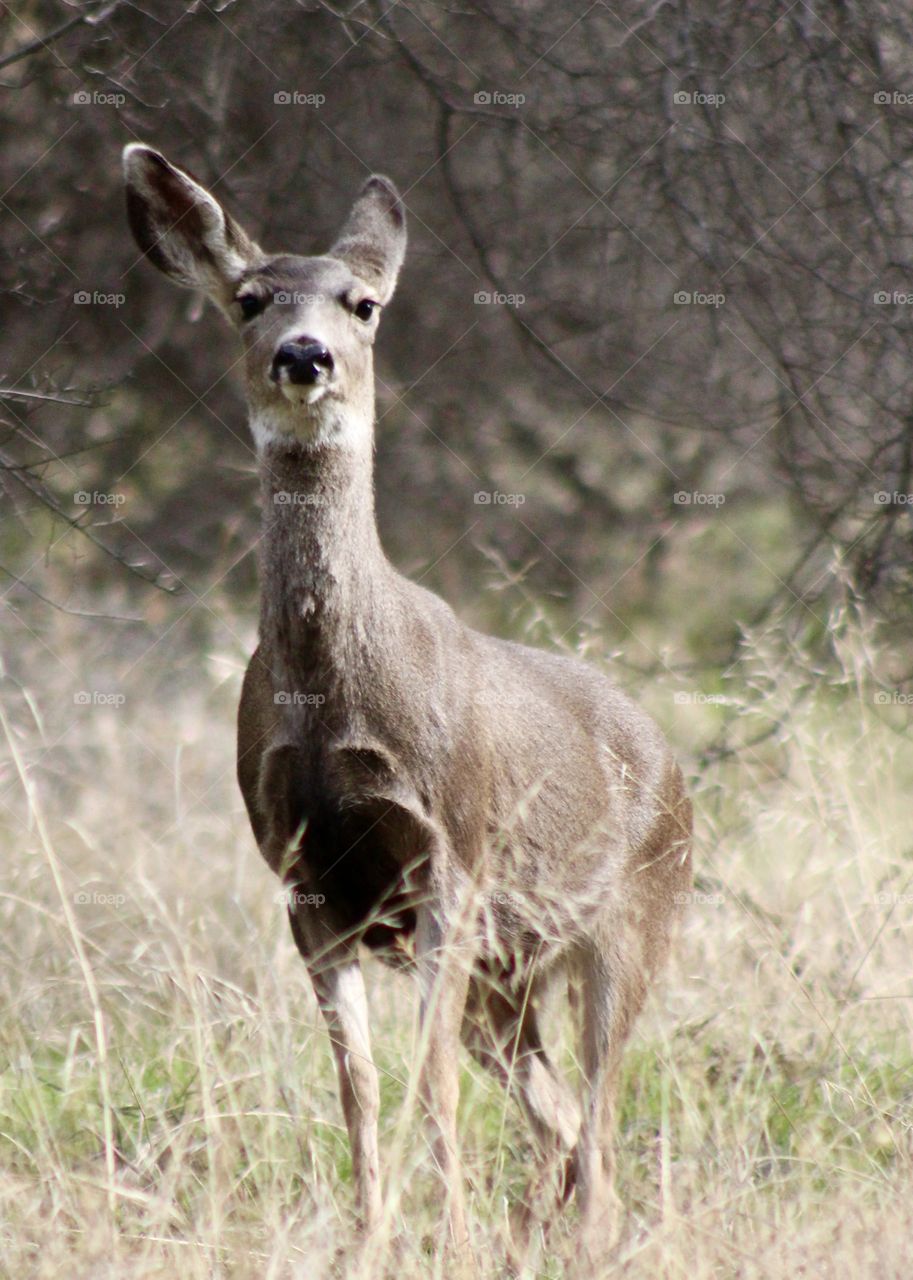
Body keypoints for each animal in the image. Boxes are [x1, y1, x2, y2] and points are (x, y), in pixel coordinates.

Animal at [122, 142, 692, 1262]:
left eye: (364, 303)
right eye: (248, 299)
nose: (304, 355)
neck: (331, 706)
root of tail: (674, 763)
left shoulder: (452, 855)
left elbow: (425, 1085)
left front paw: (449, 1241)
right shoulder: (304, 881)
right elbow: (360, 1085)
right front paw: (370, 1238)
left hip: (630, 920)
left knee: (601, 1116)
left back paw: (574, 1240)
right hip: (507, 977)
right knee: (560, 1116)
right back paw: (530, 1236)